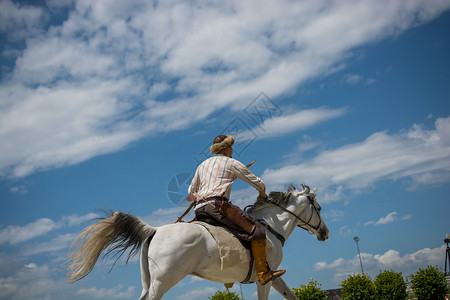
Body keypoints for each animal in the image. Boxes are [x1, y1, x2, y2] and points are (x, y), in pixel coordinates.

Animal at [67, 184, 326, 298]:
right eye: (319, 208)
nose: (325, 232)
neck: (272, 227)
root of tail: (155, 230)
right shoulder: (265, 280)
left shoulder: (274, 277)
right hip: (163, 282)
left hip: (149, 283)